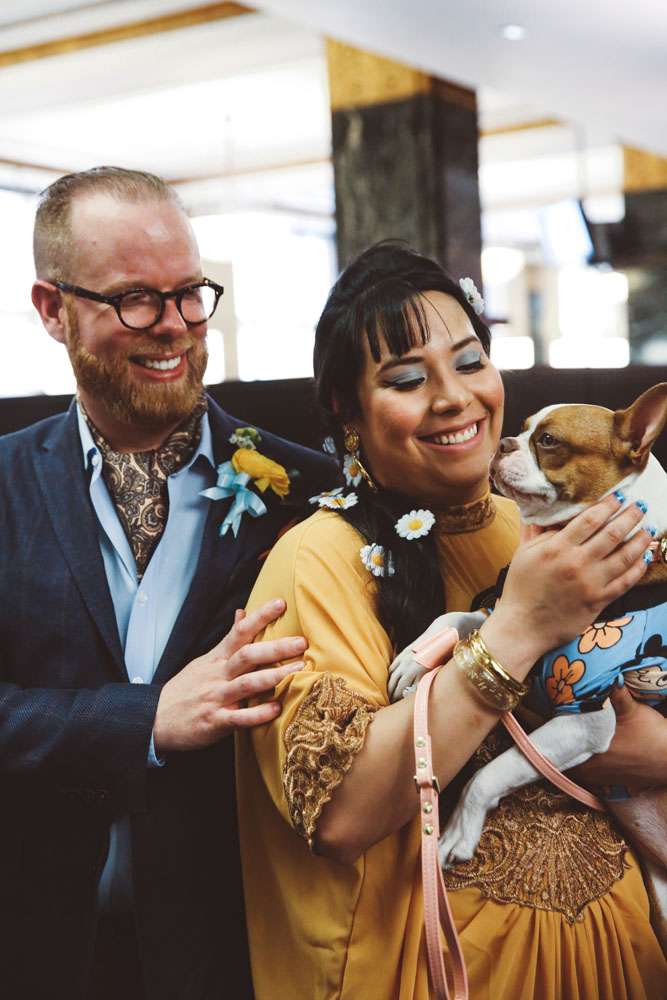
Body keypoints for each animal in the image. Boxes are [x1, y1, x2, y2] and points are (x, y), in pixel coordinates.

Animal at [388, 383, 667, 947]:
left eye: (550, 441)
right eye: (521, 428)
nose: (503, 444)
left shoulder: (585, 718)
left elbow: (494, 771)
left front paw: (459, 828)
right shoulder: (505, 610)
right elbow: (459, 617)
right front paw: (414, 657)